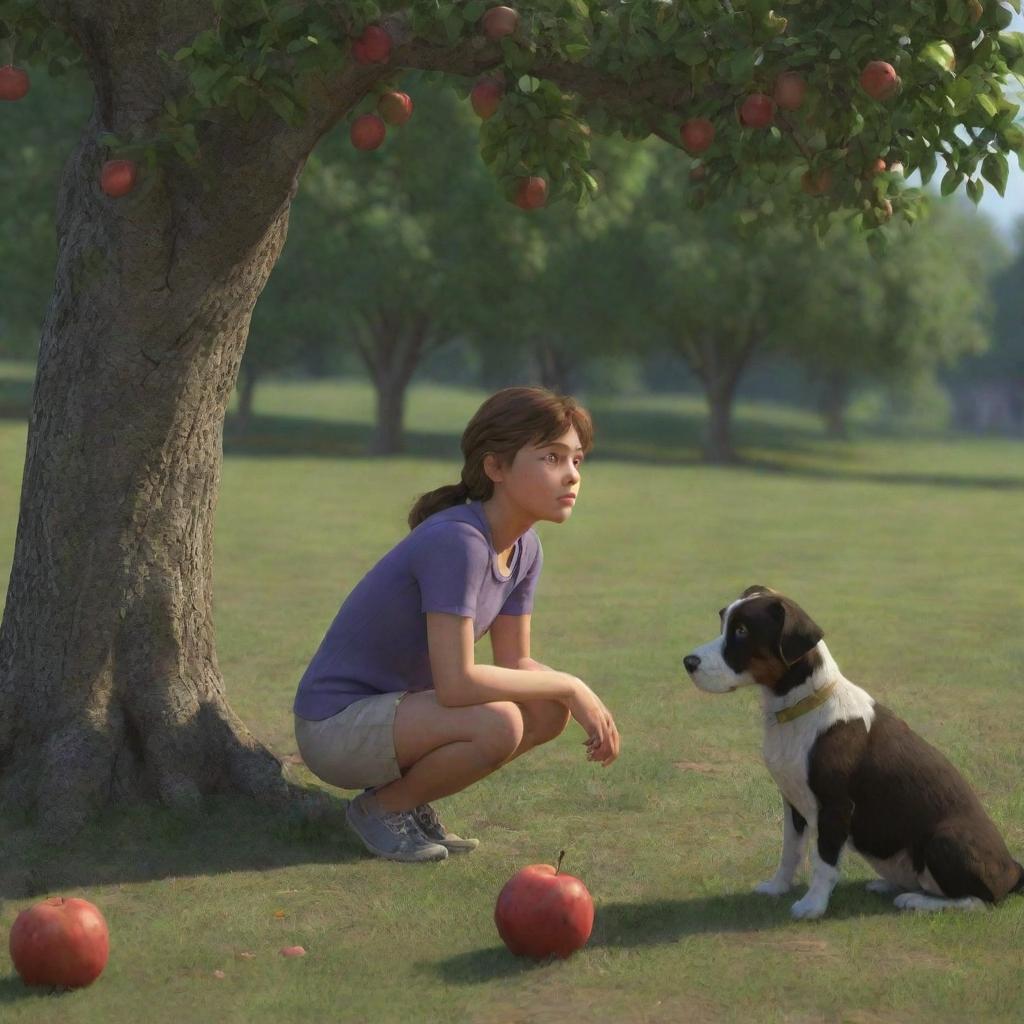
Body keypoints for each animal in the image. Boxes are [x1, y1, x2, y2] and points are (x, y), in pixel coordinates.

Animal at [679, 585, 1024, 921]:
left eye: (741, 631)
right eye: (724, 621)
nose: (688, 662)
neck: (801, 708)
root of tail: (1013, 868)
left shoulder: (836, 805)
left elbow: (824, 861)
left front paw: (812, 906)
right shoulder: (791, 798)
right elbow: (789, 850)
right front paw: (777, 887)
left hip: (945, 838)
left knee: (980, 900)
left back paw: (915, 900)